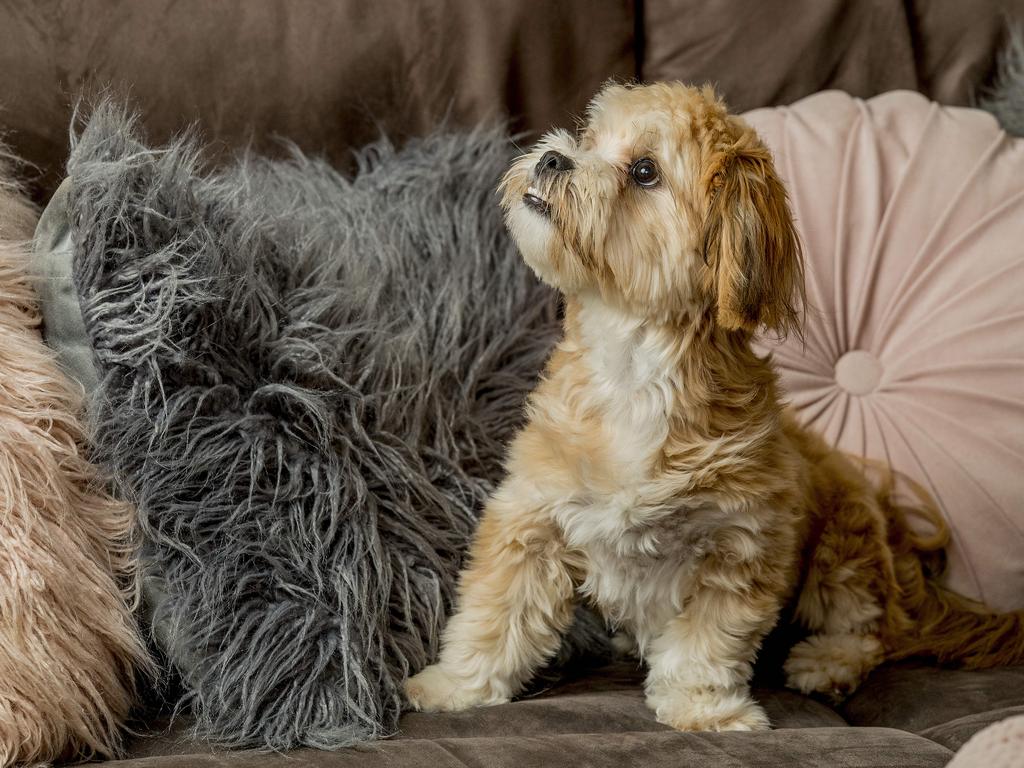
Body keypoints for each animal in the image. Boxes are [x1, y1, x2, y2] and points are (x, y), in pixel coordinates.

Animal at [401, 81, 1024, 729]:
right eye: (589, 139)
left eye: (644, 171)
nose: (553, 158)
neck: (632, 368)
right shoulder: (531, 519)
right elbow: (497, 614)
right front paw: (456, 685)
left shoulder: (739, 550)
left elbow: (706, 641)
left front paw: (704, 709)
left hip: (843, 545)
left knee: (869, 629)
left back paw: (826, 664)